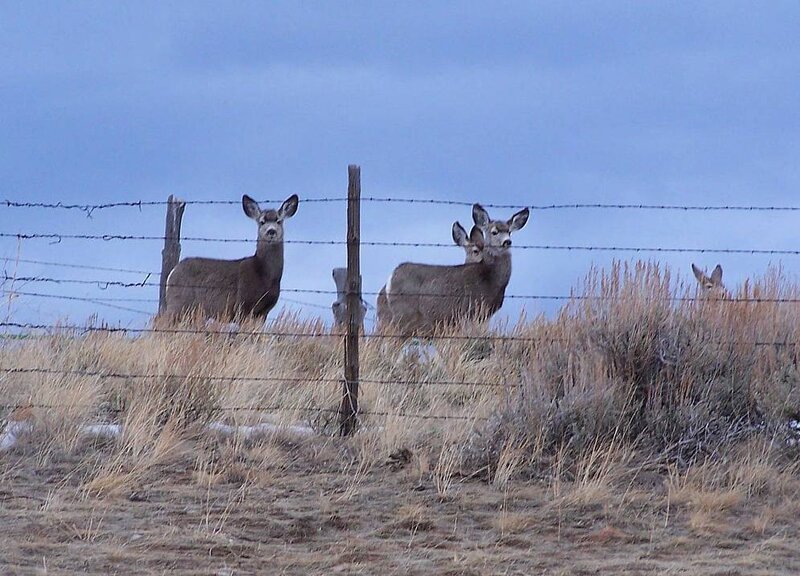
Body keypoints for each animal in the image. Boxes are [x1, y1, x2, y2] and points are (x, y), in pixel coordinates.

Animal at [164, 194, 299, 321]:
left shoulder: (263, 312)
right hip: (179, 302)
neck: (264, 274)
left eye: (279, 221)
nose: (271, 231)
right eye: (262, 222)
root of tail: (172, 273)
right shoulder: (243, 305)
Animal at [379, 204, 529, 337]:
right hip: (404, 315)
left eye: (509, 231)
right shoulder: (472, 311)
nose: (507, 242)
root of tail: (391, 278)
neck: (490, 278)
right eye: (494, 232)